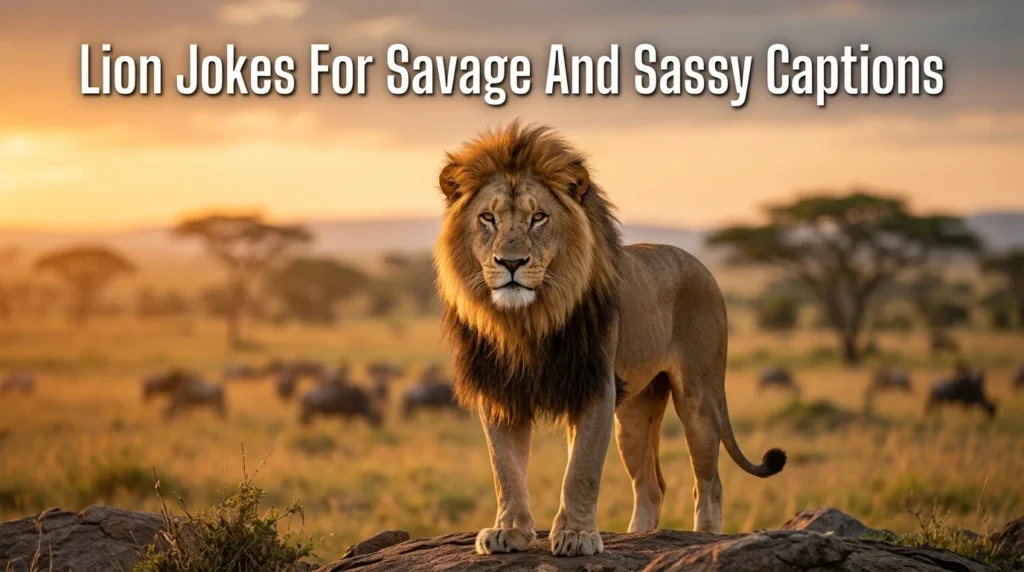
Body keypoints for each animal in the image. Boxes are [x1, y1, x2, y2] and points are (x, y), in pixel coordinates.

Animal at [434, 122, 786, 558]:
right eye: (487, 218)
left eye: (538, 218)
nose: (511, 263)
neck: (527, 320)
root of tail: (700, 264)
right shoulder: (503, 393)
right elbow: (506, 469)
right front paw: (508, 531)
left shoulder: (595, 386)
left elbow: (581, 471)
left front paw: (577, 535)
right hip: (634, 413)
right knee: (652, 485)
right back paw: (639, 536)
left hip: (699, 398)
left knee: (709, 482)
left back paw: (705, 541)